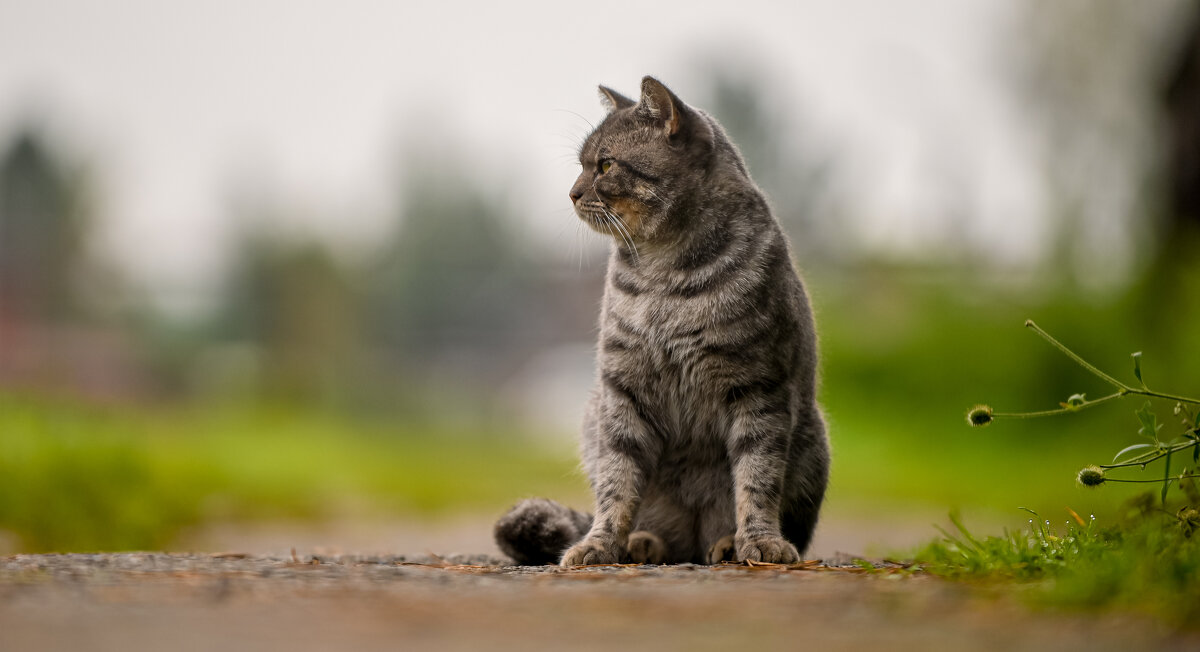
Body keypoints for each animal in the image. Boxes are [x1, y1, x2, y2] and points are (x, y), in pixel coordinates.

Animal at [492, 76, 830, 566]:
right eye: (581, 165)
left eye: (605, 165)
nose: (572, 192)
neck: (663, 275)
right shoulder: (622, 390)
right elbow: (616, 484)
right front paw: (599, 544)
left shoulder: (759, 388)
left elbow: (758, 478)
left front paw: (759, 542)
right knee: (663, 533)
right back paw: (641, 544)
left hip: (810, 439)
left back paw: (726, 545)